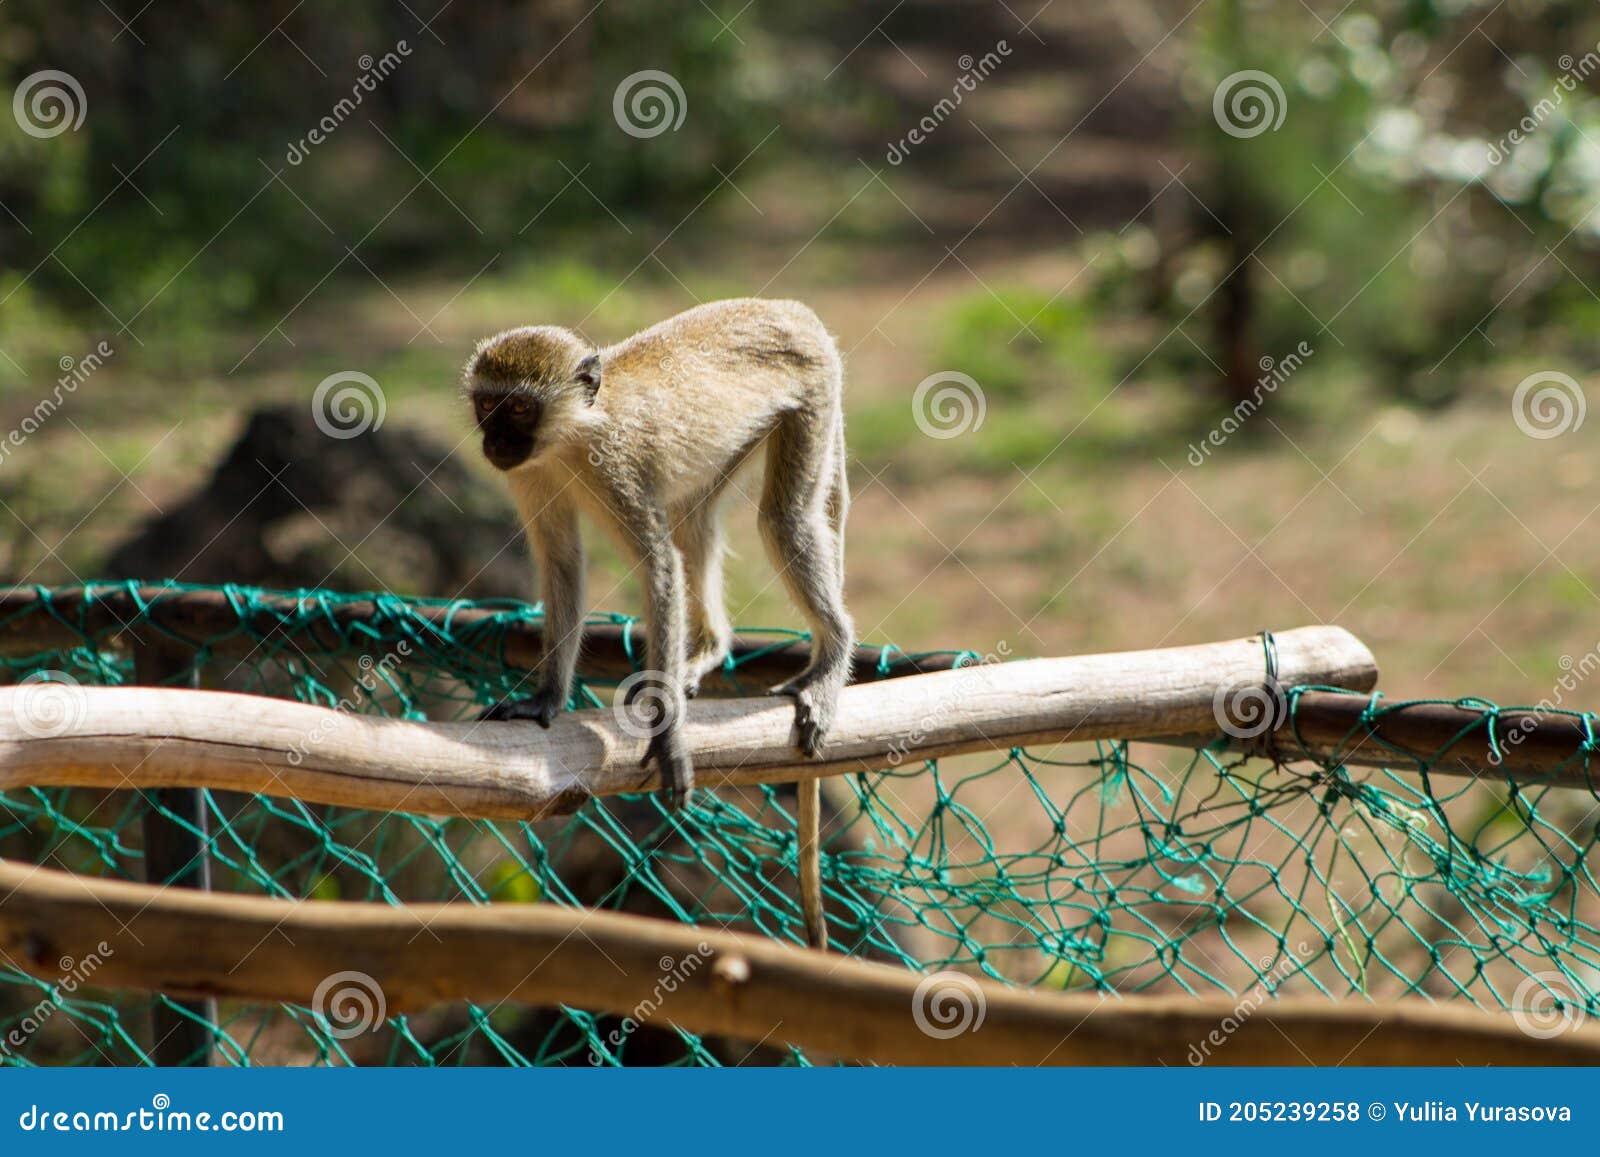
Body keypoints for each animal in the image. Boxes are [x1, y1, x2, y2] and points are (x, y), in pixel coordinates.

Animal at [470, 299, 857, 947]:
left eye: (519, 408)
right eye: (486, 404)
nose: (493, 439)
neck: (575, 435)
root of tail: (791, 309)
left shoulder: (616, 469)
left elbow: (659, 568)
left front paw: (669, 730)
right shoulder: (529, 472)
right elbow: (563, 563)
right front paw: (545, 698)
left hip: (812, 395)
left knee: (783, 519)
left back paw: (831, 658)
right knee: (693, 514)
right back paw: (707, 650)